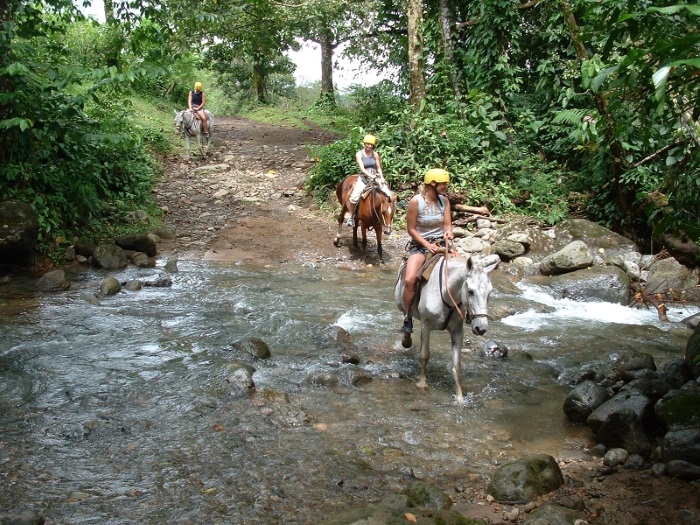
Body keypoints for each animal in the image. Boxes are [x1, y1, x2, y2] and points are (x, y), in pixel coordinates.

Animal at [394, 254, 498, 402]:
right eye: (470, 291)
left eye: (489, 293)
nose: (481, 328)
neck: (446, 292)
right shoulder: (426, 326)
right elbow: (424, 355)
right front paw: (422, 384)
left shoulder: (457, 331)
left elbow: (457, 365)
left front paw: (460, 398)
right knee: (407, 316)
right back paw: (406, 339)